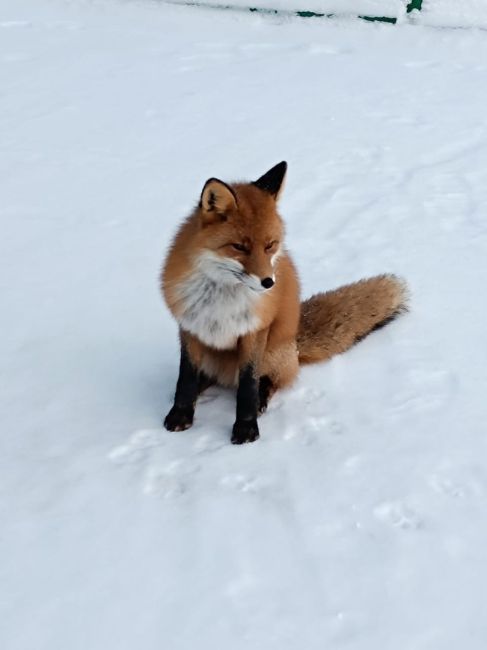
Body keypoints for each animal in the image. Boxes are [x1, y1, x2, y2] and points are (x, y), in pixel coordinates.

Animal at [161, 162, 408, 442]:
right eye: (239, 247)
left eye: (270, 245)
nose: (268, 283)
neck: (220, 298)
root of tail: (296, 342)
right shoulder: (190, 327)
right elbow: (186, 378)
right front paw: (180, 413)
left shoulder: (254, 331)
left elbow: (248, 384)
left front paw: (246, 427)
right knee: (209, 377)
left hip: (273, 352)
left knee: (272, 380)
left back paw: (261, 398)